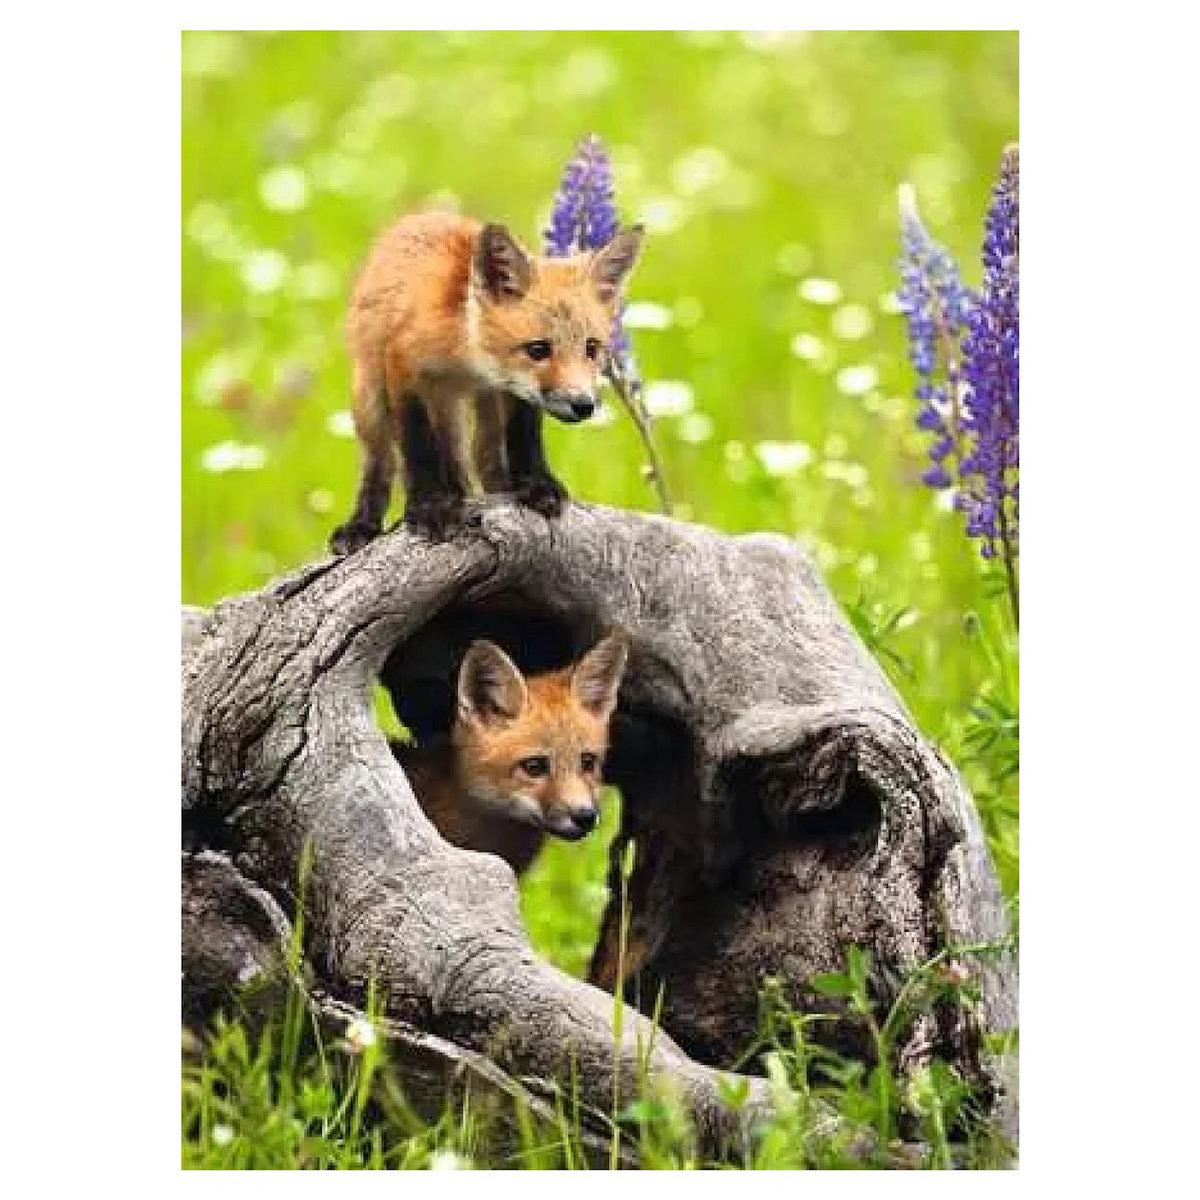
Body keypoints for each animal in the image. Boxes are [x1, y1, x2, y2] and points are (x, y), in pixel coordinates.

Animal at [330, 211, 645, 555]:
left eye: (592, 348)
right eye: (538, 349)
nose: (584, 405)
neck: (467, 356)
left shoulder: (515, 393)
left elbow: (525, 439)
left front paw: (538, 485)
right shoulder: (403, 366)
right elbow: (418, 447)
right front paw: (430, 506)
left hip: (483, 413)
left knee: (483, 460)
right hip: (371, 397)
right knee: (379, 464)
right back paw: (362, 525)